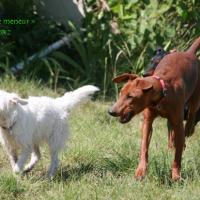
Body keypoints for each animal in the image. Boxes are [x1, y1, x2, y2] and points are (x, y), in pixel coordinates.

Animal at [108, 36, 200, 180]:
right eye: (121, 93)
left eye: (130, 96)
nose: (111, 111)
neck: (162, 93)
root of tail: (188, 53)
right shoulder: (147, 122)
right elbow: (144, 147)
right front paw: (141, 171)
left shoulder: (178, 123)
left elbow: (177, 155)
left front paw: (176, 175)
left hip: (195, 97)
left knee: (191, 115)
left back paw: (189, 129)